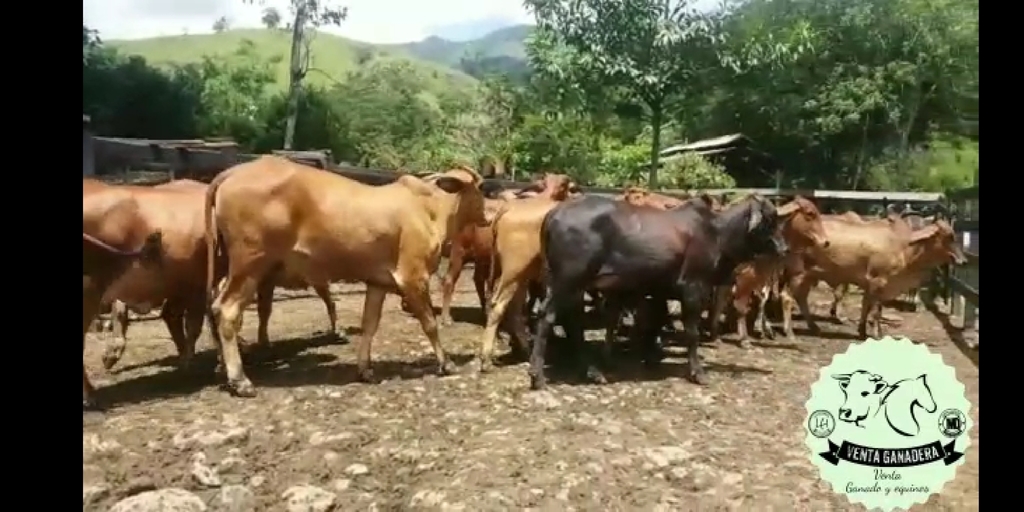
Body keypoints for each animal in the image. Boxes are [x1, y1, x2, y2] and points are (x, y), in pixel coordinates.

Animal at [205, 156, 488, 397]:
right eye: (481, 188)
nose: (487, 216)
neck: (430, 210)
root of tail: (233, 172)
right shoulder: (413, 277)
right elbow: (430, 323)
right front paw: (447, 363)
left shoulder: (378, 282)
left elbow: (369, 325)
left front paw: (365, 370)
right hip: (250, 264)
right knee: (228, 311)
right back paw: (240, 380)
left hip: (229, 266)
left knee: (216, 308)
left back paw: (223, 370)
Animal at [438, 173, 575, 326]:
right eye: (543, 184)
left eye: (564, 185)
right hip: (459, 252)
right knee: (449, 281)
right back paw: (446, 318)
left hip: (481, 258)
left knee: (478, 280)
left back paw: (484, 311)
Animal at [527, 193, 789, 390]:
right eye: (769, 220)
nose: (784, 248)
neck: (716, 233)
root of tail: (554, 213)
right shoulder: (694, 288)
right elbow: (691, 333)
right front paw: (697, 372)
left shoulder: (660, 289)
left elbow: (656, 321)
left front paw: (651, 356)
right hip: (567, 280)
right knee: (549, 317)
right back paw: (538, 375)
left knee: (572, 321)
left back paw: (592, 371)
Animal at [708, 196, 830, 346]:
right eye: (810, 213)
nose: (826, 242)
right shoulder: (744, 280)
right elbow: (741, 306)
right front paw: (745, 339)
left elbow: (720, 304)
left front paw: (715, 335)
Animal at [790, 215, 965, 339]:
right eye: (949, 236)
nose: (964, 260)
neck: (905, 249)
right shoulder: (878, 281)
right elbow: (875, 311)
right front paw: (876, 334)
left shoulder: (871, 286)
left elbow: (866, 307)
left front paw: (862, 330)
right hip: (800, 274)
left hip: (809, 276)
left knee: (801, 297)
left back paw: (812, 326)